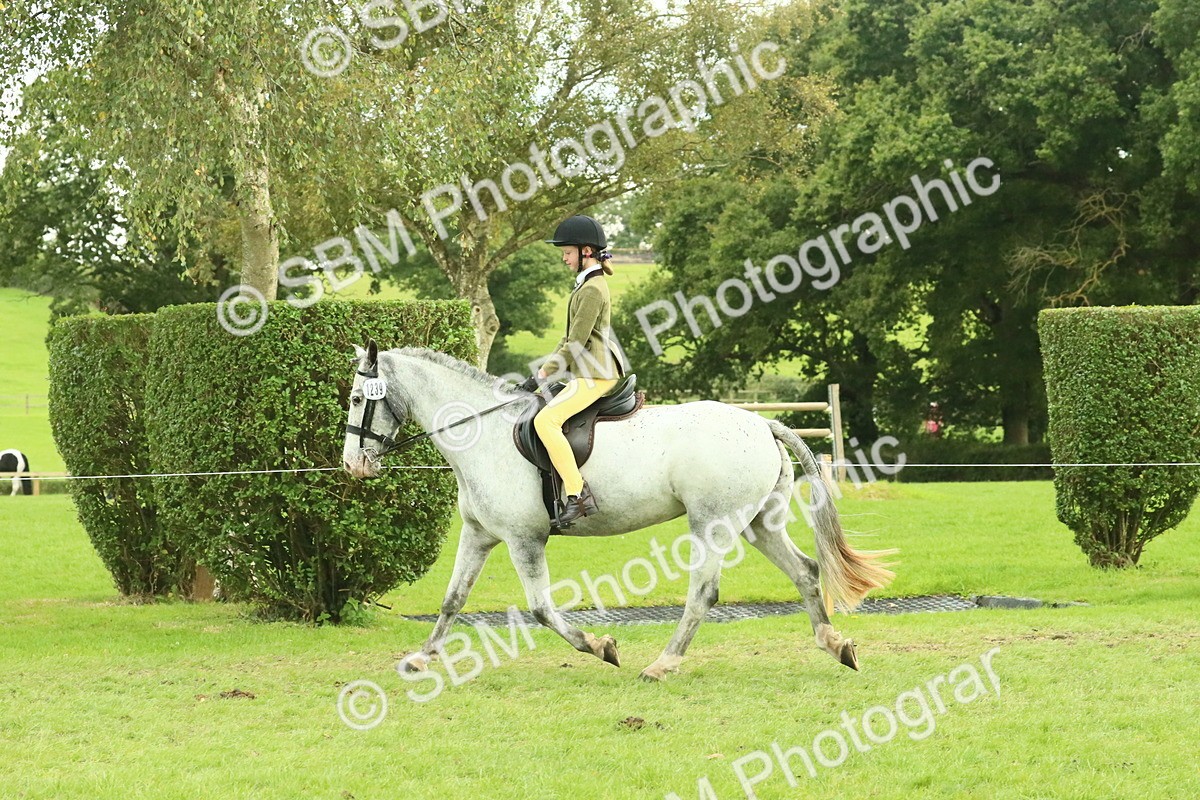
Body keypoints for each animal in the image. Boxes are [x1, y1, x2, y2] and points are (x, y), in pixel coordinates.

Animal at [341, 341, 894, 680]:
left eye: (357, 399)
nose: (352, 465)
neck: (483, 431)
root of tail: (762, 424)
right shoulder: (479, 534)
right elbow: (452, 601)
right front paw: (420, 659)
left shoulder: (524, 538)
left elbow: (541, 609)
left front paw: (600, 647)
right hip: (758, 522)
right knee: (805, 570)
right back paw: (835, 644)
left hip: (712, 523)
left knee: (704, 592)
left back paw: (663, 664)